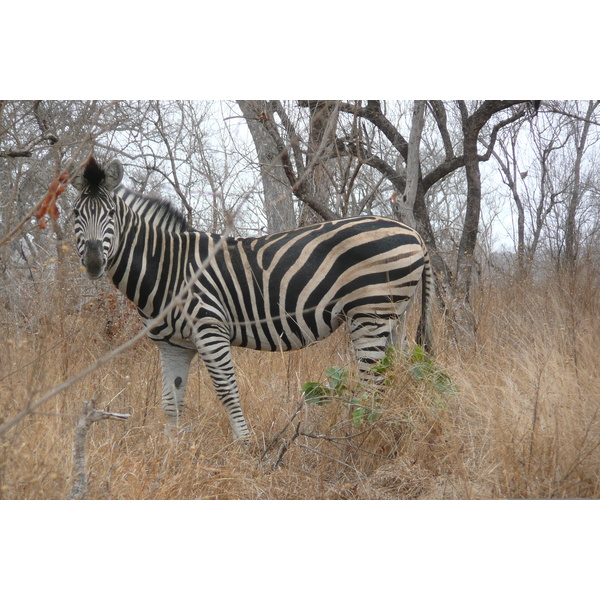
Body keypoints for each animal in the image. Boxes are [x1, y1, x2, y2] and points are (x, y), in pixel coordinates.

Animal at [70, 158, 434, 440]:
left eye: (111, 214)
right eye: (74, 214)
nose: (93, 262)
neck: (169, 268)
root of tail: (414, 233)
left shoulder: (210, 330)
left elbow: (227, 392)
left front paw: (246, 446)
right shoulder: (173, 346)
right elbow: (171, 404)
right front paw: (170, 456)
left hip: (371, 313)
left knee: (373, 383)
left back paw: (361, 437)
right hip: (394, 316)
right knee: (395, 371)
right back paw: (384, 429)